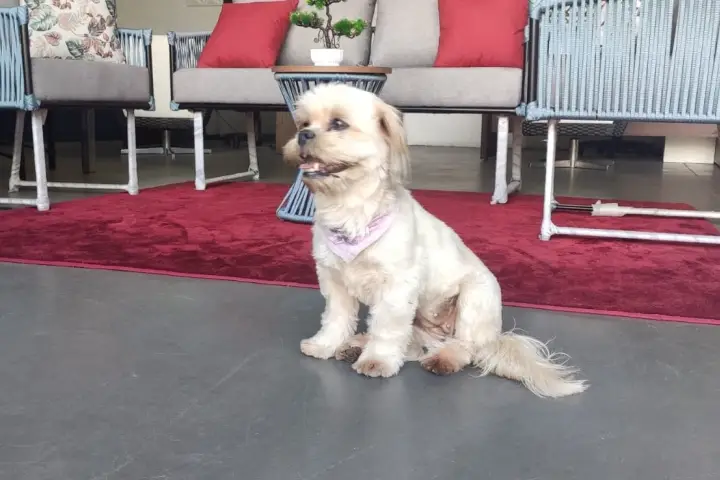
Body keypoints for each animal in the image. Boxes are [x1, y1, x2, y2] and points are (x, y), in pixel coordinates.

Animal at [283, 84, 588, 398]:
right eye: (303, 124)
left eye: (339, 124)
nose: (303, 135)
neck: (351, 213)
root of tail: (493, 336)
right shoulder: (334, 281)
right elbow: (336, 318)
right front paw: (325, 345)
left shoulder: (397, 287)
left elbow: (386, 328)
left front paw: (378, 360)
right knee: (414, 344)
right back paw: (358, 345)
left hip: (473, 299)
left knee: (464, 347)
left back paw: (443, 358)